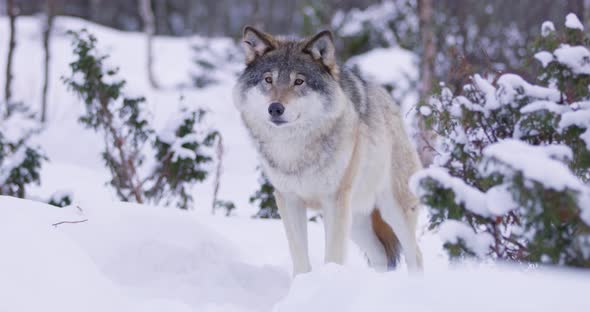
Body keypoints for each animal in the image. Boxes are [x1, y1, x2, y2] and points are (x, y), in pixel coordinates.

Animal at [234, 27, 424, 276]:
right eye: (268, 80)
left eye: (299, 81)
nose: (275, 108)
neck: (295, 150)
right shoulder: (289, 199)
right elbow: (300, 257)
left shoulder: (334, 201)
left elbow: (333, 255)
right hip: (357, 222)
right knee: (380, 255)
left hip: (392, 210)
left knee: (416, 256)